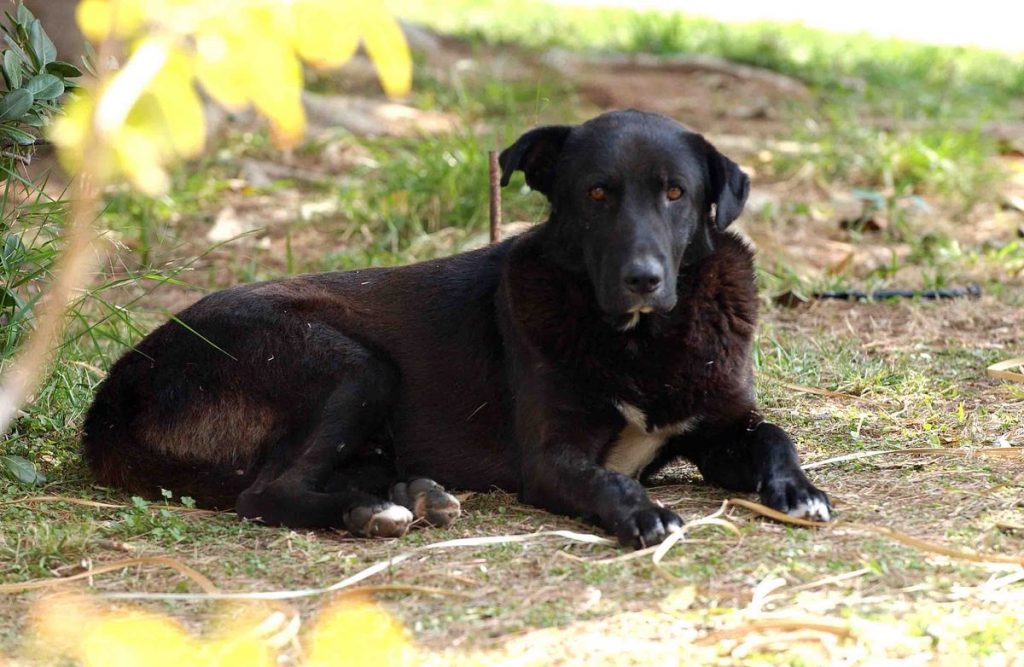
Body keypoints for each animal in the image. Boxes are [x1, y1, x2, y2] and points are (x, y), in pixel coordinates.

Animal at [81, 109, 831, 549]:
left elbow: (774, 434)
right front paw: (644, 512)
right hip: (352, 365)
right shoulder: (551, 457)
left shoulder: (720, 424)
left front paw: (799, 490)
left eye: (676, 193)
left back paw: (413, 493)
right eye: (596, 194)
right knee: (263, 492)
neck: (639, 338)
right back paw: (372, 513)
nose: (643, 278)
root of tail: (118, 389)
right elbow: (609, 482)